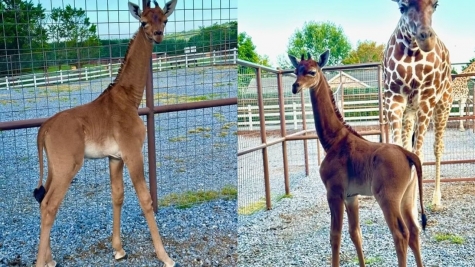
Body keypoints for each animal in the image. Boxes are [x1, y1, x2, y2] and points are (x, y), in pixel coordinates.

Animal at [290, 49, 428, 266]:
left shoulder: (334, 192)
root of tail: (408, 154)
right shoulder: (351, 196)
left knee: (401, 234)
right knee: (414, 231)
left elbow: (335, 236)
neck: (333, 140)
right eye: (296, 71)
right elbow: (356, 233)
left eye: (312, 72)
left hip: (387, 198)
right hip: (408, 197)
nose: (295, 86)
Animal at [384, 0, 454, 211]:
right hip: (410, 111)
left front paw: (413, 209)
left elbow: (419, 155)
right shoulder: (393, 99)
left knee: (438, 147)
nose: (426, 39)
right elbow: (400, 151)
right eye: (402, 6)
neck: (412, 51)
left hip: (443, 106)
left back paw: (436, 200)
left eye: (436, 5)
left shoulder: (427, 100)